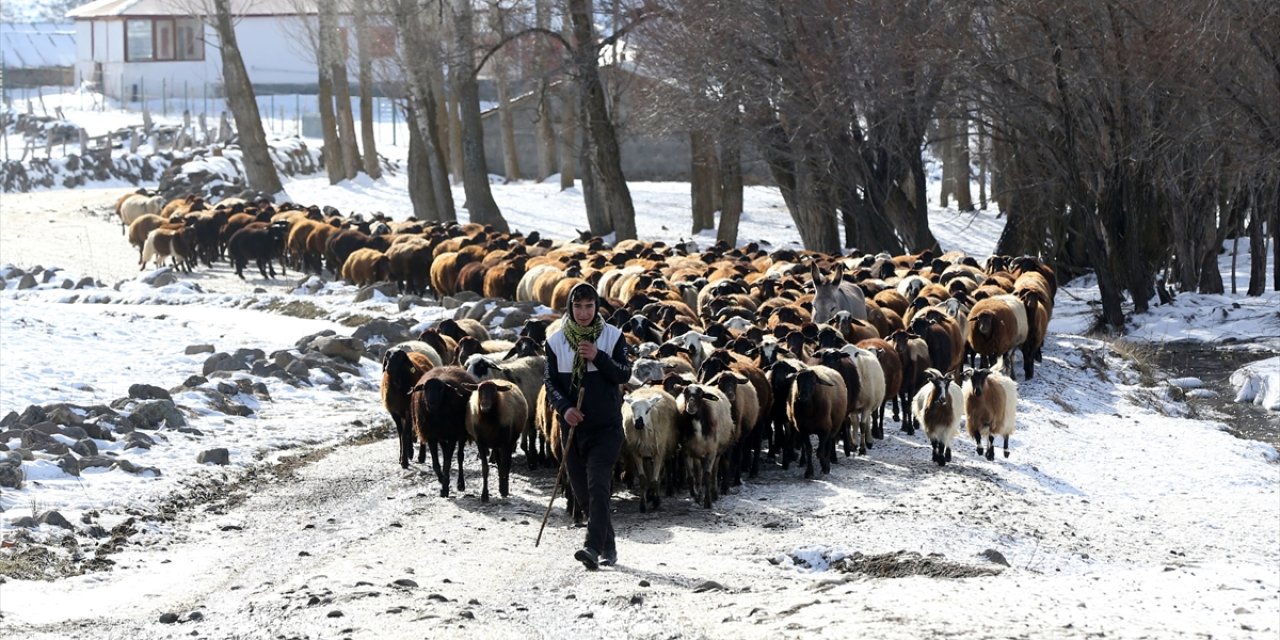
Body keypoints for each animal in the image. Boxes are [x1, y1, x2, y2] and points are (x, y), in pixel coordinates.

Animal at [407, 366, 478, 499]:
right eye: (425, 388)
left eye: (441, 389)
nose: (431, 402)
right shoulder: (432, 436)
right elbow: (436, 463)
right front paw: (442, 480)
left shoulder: (452, 436)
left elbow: (447, 463)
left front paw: (445, 489)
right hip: (441, 436)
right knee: (445, 454)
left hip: (461, 433)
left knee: (460, 456)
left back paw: (460, 484)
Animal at [619, 384, 680, 514]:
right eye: (632, 408)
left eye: (648, 410)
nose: (638, 423)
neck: (644, 434)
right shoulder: (637, 453)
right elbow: (643, 479)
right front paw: (643, 505)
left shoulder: (659, 453)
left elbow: (655, 480)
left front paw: (656, 502)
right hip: (646, 454)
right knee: (649, 472)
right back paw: (649, 494)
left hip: (665, 451)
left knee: (663, 471)